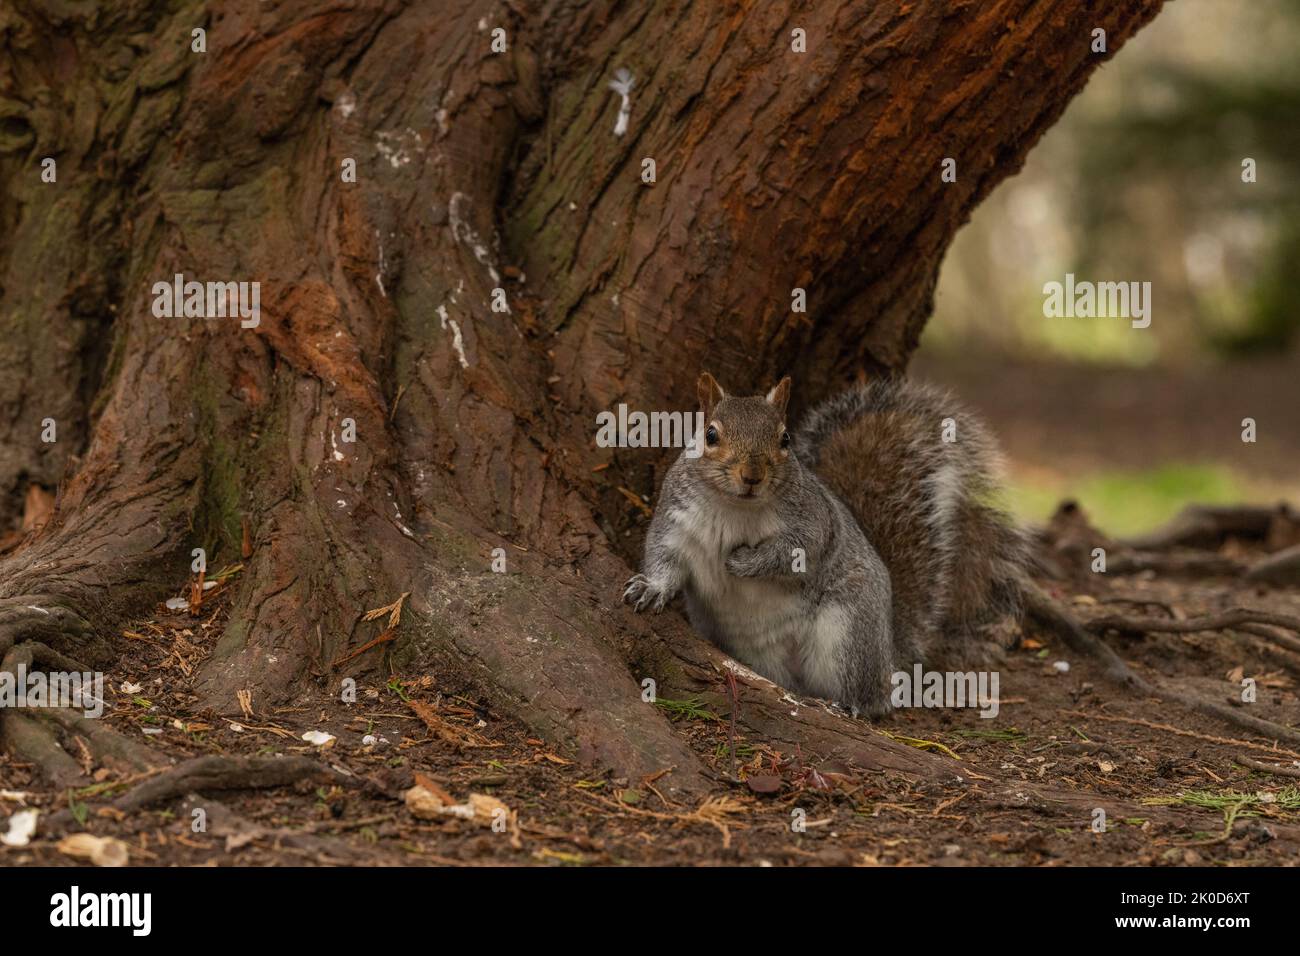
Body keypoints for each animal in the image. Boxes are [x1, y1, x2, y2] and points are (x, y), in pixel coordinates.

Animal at [624, 369, 1029, 712]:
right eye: (710, 435)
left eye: (784, 438)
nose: (752, 476)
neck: (735, 507)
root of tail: (889, 658)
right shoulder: (675, 520)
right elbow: (663, 558)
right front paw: (650, 589)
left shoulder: (814, 524)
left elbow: (790, 553)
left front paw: (743, 562)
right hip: (759, 653)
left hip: (847, 630)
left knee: (867, 695)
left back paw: (849, 705)